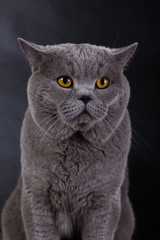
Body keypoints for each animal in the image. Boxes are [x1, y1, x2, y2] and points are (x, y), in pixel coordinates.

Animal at [0, 38, 138, 239]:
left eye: (102, 82)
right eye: (64, 81)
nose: (85, 96)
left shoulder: (105, 198)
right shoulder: (36, 194)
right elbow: (42, 232)